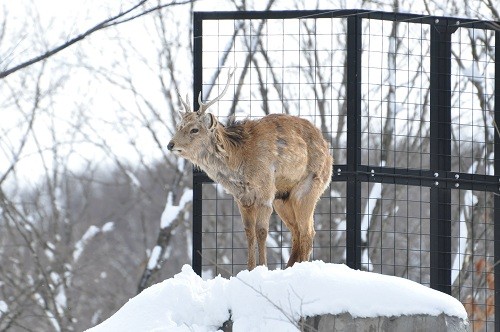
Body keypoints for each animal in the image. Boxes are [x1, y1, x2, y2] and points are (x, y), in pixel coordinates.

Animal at [166, 69, 334, 270]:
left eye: (194, 129)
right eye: (179, 126)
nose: (170, 144)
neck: (240, 164)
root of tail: (327, 148)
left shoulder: (265, 191)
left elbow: (261, 231)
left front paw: (263, 267)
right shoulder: (242, 198)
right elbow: (249, 232)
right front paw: (250, 268)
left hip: (308, 188)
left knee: (307, 232)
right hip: (283, 198)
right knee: (297, 232)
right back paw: (288, 267)